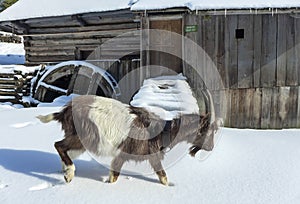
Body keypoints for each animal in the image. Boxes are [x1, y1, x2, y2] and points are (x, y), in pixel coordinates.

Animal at [37, 93, 218, 186]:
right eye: (209, 131)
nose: (211, 148)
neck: (161, 132)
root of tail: (64, 111)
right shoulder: (126, 155)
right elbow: (116, 177)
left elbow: (162, 177)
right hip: (82, 137)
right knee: (59, 145)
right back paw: (69, 174)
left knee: (66, 151)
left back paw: (65, 172)